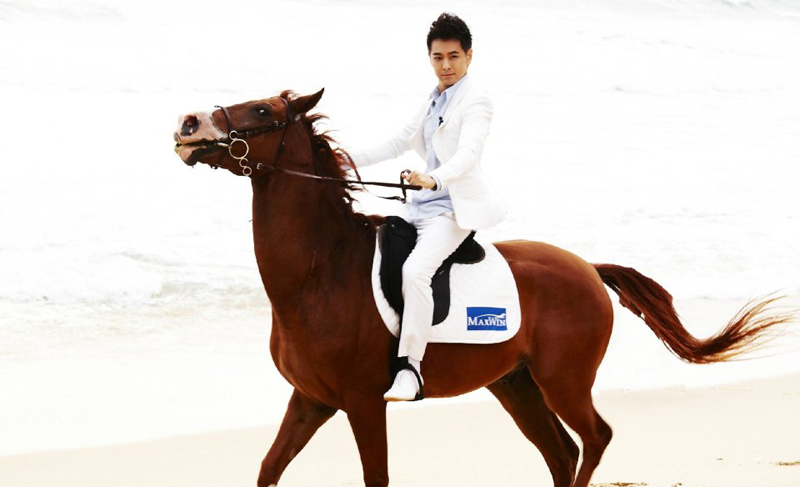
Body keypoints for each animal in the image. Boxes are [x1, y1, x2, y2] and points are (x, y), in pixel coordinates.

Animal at [172, 89, 790, 487]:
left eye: (261, 111)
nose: (188, 124)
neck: (320, 273)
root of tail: (588, 268)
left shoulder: (362, 403)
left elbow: (376, 475)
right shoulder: (311, 400)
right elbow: (268, 469)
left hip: (563, 382)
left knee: (595, 439)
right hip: (515, 385)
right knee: (561, 453)